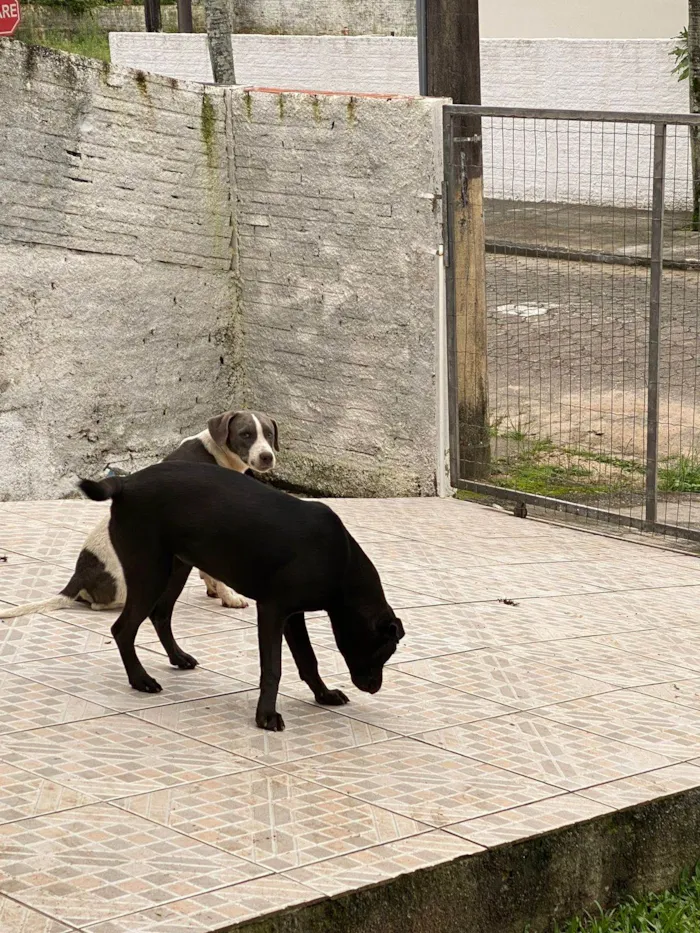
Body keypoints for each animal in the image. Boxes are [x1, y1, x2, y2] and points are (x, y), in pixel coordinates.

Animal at [0, 410, 278, 620]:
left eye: (269, 434)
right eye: (245, 434)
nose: (267, 456)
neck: (217, 453)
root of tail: (80, 574)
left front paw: (214, 590)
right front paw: (229, 596)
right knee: (101, 605)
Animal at [78, 462, 402, 732]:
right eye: (384, 651)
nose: (375, 688)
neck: (340, 562)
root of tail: (126, 482)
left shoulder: (293, 616)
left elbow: (308, 660)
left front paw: (323, 695)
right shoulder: (272, 610)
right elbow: (273, 668)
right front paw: (266, 715)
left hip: (177, 567)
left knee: (160, 614)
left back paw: (177, 657)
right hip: (150, 572)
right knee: (123, 629)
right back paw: (140, 679)